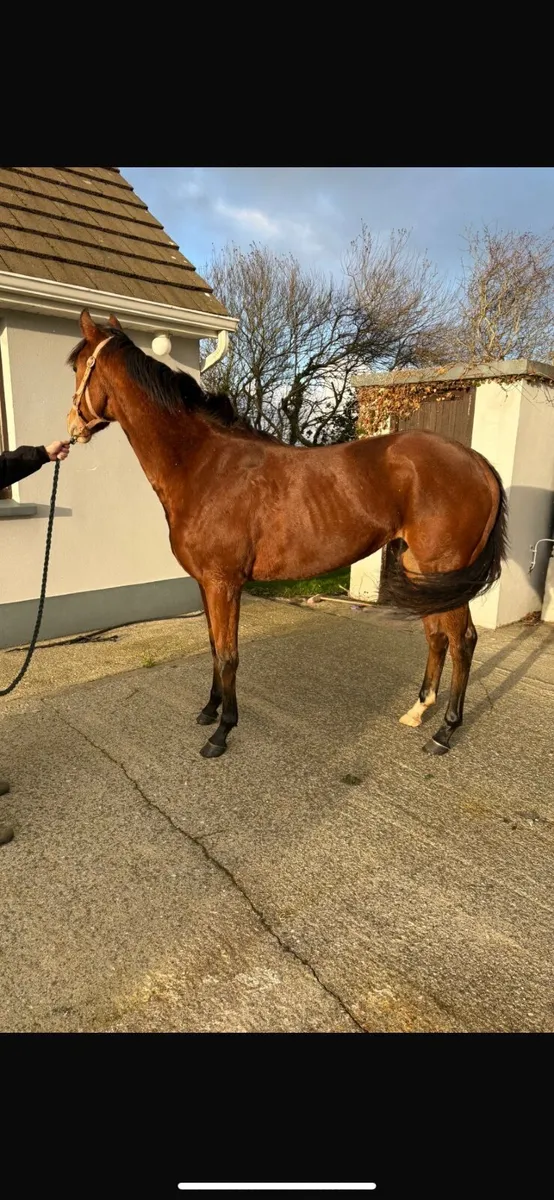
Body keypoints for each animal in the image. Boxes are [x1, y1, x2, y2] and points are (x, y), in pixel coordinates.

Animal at [67, 311, 508, 760]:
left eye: (76, 366)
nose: (72, 428)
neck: (203, 464)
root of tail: (477, 463)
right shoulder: (206, 583)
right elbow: (213, 647)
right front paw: (209, 710)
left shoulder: (223, 583)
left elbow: (228, 655)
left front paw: (222, 731)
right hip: (423, 570)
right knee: (437, 637)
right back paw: (419, 711)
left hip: (442, 569)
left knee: (463, 640)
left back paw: (444, 732)